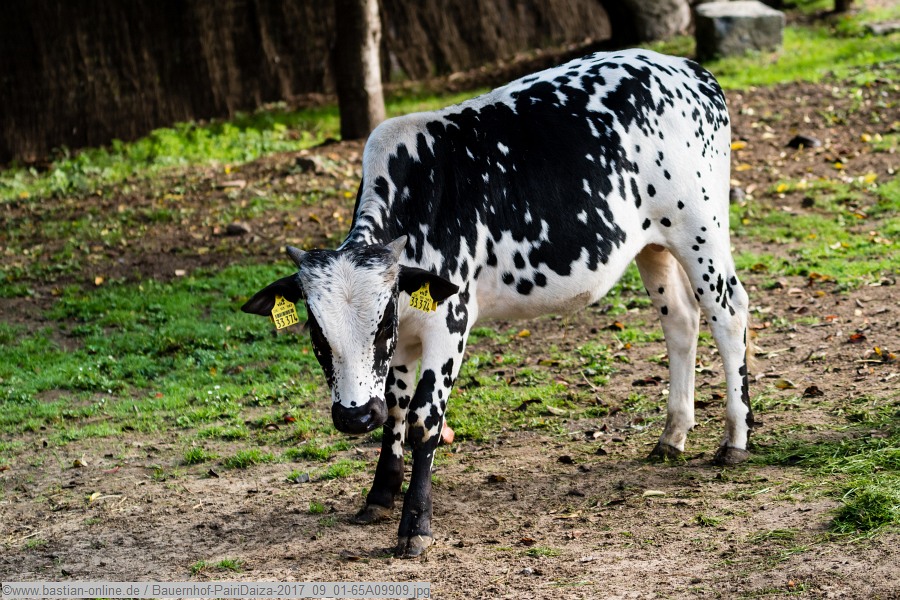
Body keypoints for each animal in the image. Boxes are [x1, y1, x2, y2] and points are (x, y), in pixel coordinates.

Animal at [242, 48, 752, 558]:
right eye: (316, 332)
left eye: (381, 323)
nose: (354, 416)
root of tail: (686, 68)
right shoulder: (405, 341)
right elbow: (396, 411)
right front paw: (380, 495)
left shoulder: (448, 322)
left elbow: (423, 421)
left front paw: (415, 524)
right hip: (654, 246)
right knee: (681, 320)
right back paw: (672, 435)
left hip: (701, 229)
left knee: (729, 312)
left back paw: (735, 439)